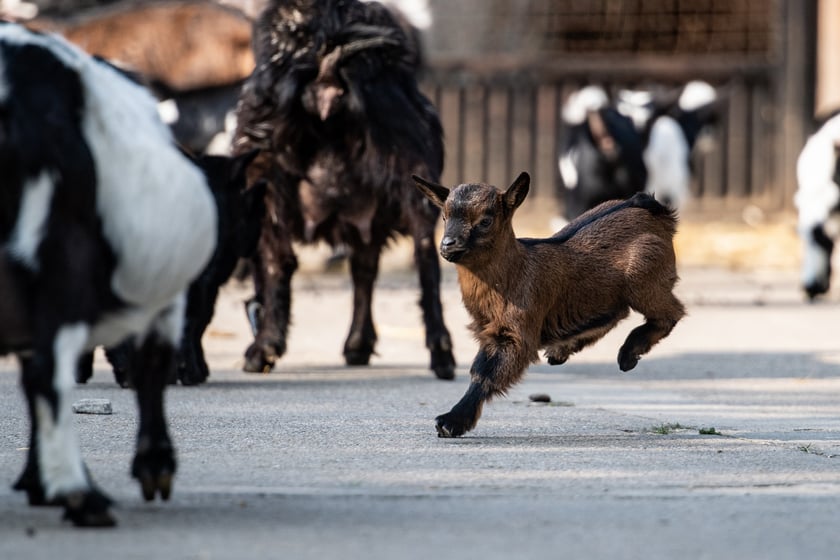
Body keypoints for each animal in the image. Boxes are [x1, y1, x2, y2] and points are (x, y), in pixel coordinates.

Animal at [0, 24, 220, 528]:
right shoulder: (166, 305)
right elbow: (151, 368)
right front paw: (155, 464)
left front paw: (35, 481)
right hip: (64, 262)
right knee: (49, 374)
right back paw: (81, 495)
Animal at [230, 0, 456, 378]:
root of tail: (327, 70)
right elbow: (364, 270)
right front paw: (359, 344)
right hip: (411, 167)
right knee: (425, 256)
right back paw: (441, 352)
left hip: (265, 173)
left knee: (279, 260)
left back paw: (263, 348)